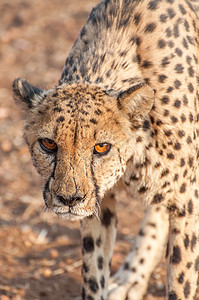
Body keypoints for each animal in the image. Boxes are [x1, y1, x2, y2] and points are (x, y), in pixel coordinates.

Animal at [13, 0, 198, 298]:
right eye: (48, 144)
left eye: (101, 147)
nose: (69, 199)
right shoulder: (99, 200)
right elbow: (93, 268)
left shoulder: (187, 199)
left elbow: (182, 278)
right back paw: (131, 277)